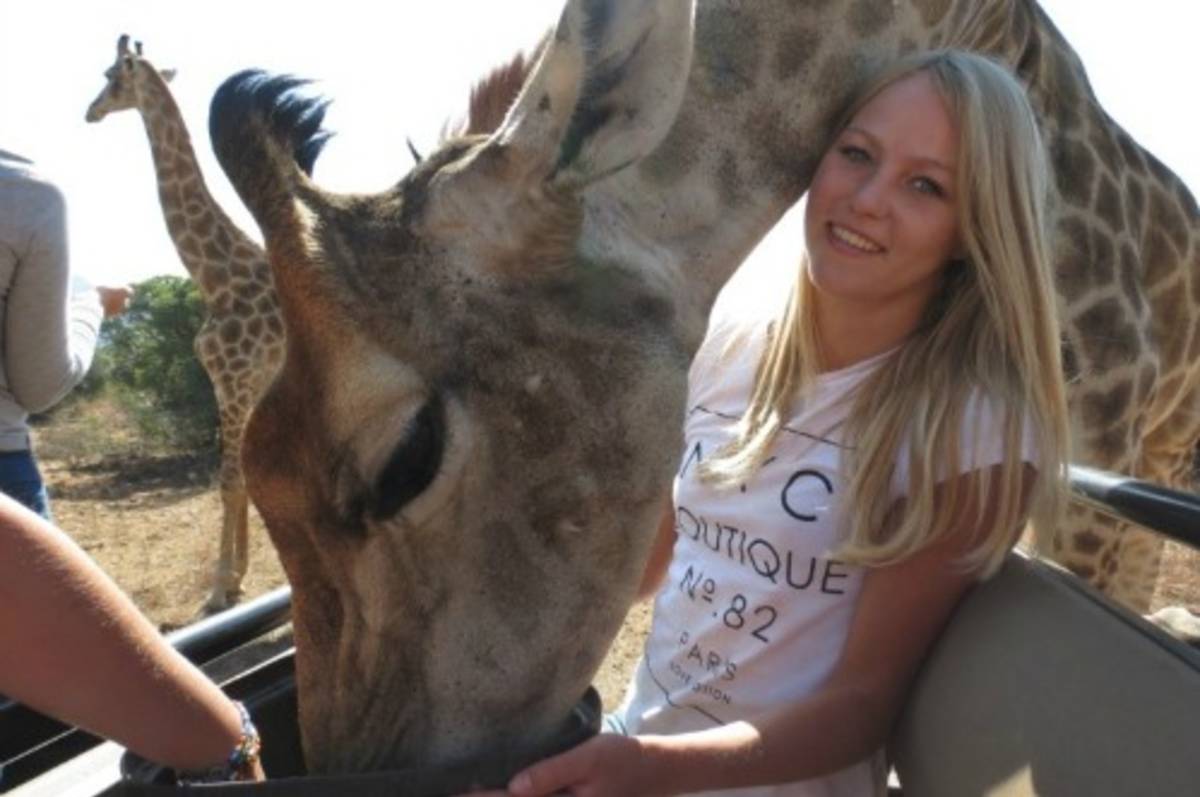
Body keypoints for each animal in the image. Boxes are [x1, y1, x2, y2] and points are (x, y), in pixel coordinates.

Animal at [86, 36, 286, 611]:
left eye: (110, 76)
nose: (91, 111)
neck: (214, 277)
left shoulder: (235, 382)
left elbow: (230, 479)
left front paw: (219, 589)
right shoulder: (235, 384)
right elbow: (243, 475)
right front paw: (238, 578)